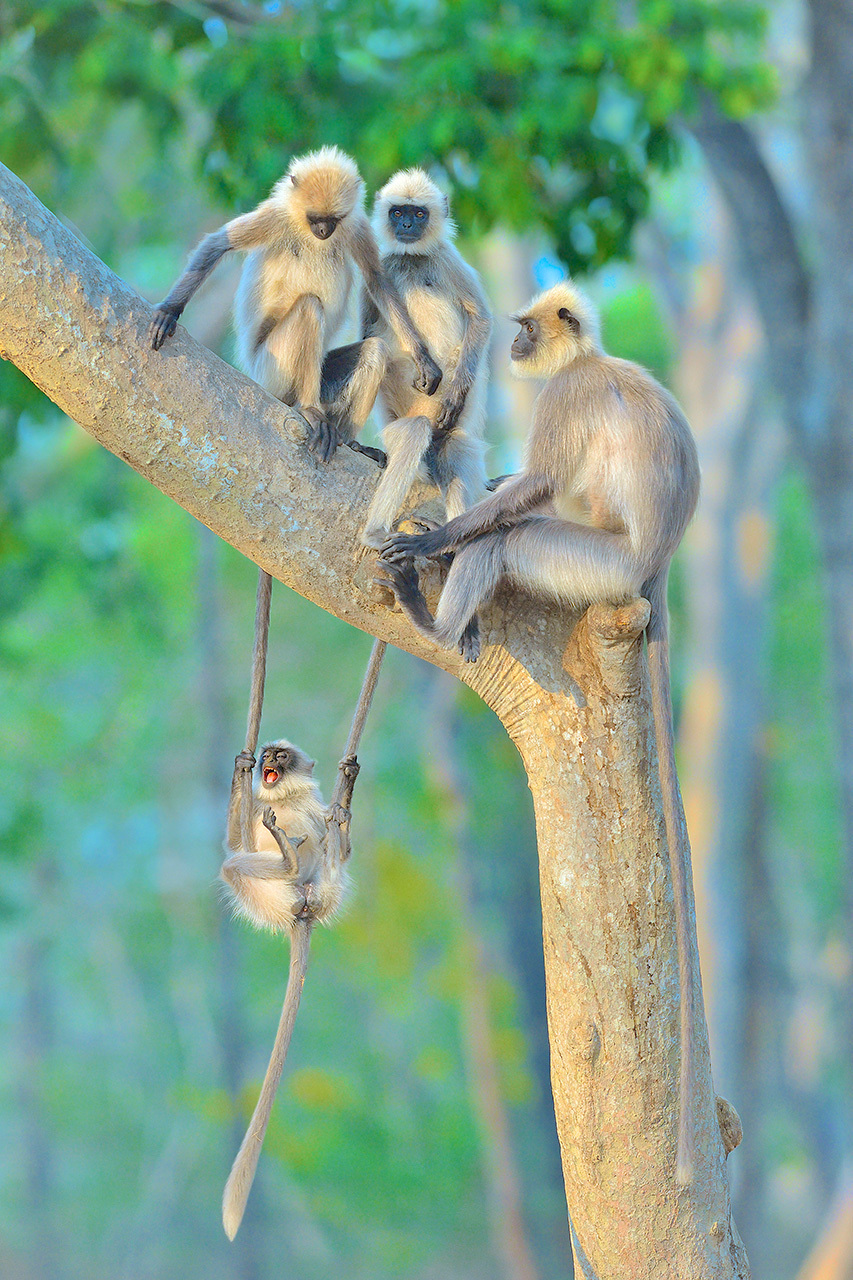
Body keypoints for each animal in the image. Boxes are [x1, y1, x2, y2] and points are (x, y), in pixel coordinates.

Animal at [149, 146, 442, 462]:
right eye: (314, 218)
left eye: (333, 219)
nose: (323, 231)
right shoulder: (276, 215)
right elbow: (217, 244)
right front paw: (169, 310)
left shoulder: (356, 224)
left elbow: (378, 281)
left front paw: (423, 359)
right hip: (271, 370)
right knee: (310, 307)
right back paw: (309, 409)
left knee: (375, 349)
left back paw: (350, 441)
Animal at [219, 738, 359, 1238]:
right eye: (267, 754)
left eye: (281, 755)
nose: (265, 761)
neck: (283, 800)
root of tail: (300, 910)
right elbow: (234, 841)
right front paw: (240, 768)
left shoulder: (312, 808)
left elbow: (344, 845)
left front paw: (344, 798)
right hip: (267, 899)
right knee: (235, 864)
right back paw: (286, 858)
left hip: (324, 891)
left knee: (327, 859)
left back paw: (302, 847)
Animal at [359, 169, 491, 548]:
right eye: (397, 212)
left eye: (419, 214)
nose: (406, 226)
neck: (413, 259)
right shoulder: (382, 266)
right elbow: (367, 335)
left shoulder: (447, 258)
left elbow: (480, 319)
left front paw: (455, 393)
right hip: (400, 428)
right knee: (414, 433)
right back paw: (375, 532)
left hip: (447, 432)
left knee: (455, 450)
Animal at [377, 280, 702, 1184]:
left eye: (524, 329)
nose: (517, 345)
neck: (589, 359)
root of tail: (654, 569)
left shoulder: (566, 396)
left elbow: (540, 485)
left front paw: (438, 537)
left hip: (593, 566)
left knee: (518, 536)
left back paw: (437, 620)